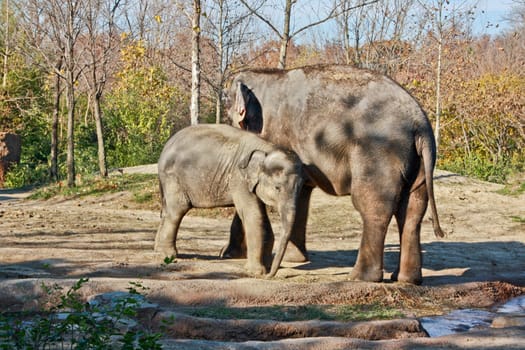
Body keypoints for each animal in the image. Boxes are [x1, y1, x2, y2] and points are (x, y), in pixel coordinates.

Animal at [154, 124, 304, 278]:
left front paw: (266, 266)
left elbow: (261, 217)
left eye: (301, 187)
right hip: (172, 177)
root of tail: (166, 146)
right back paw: (167, 256)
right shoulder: (239, 178)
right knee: (177, 210)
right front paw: (256, 272)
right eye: (277, 188)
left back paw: (158, 251)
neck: (267, 147)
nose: (270, 275)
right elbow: (253, 215)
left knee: (167, 211)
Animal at [219, 65, 444, 284]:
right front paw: (294, 259)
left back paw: (360, 277)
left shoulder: (274, 136)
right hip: (418, 164)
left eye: (227, 110)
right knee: (412, 211)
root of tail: (421, 125)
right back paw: (406, 280)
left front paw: (228, 254)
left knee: (373, 207)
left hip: (377, 155)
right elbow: (301, 196)